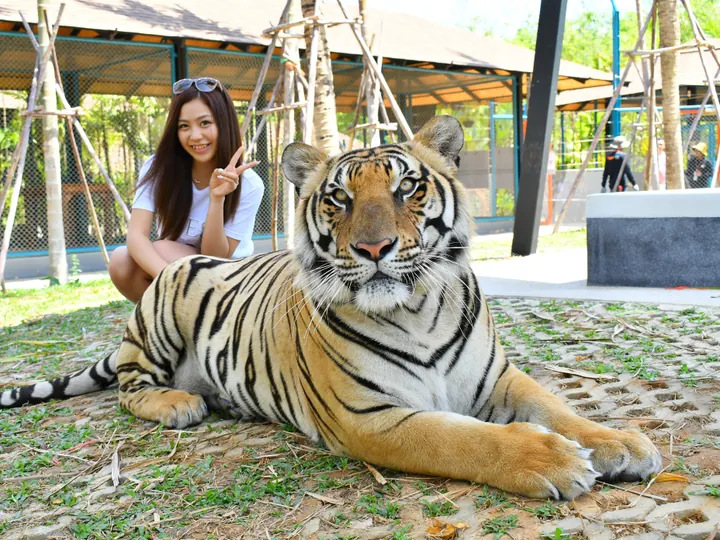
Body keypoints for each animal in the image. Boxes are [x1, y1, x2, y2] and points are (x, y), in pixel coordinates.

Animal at [0, 116, 661, 500]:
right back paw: (178, 403)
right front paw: (553, 459)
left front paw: (622, 443)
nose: (373, 248)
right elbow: (464, 441)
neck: (418, 310)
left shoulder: (498, 379)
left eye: (407, 188)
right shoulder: (370, 416)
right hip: (169, 302)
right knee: (129, 387)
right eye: (339, 198)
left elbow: (558, 406)